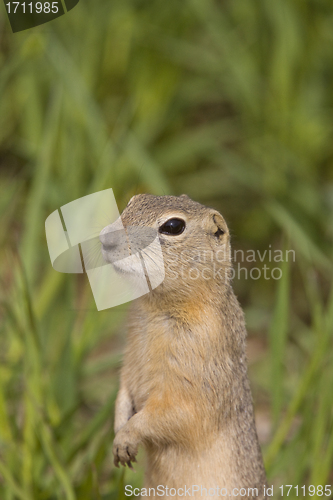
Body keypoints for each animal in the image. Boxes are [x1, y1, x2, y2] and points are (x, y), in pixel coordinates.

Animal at [99, 194, 268, 500]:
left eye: (173, 226)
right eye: (133, 201)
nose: (105, 238)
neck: (156, 308)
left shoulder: (194, 374)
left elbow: (174, 414)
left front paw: (126, 437)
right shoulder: (130, 355)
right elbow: (124, 390)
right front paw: (118, 428)